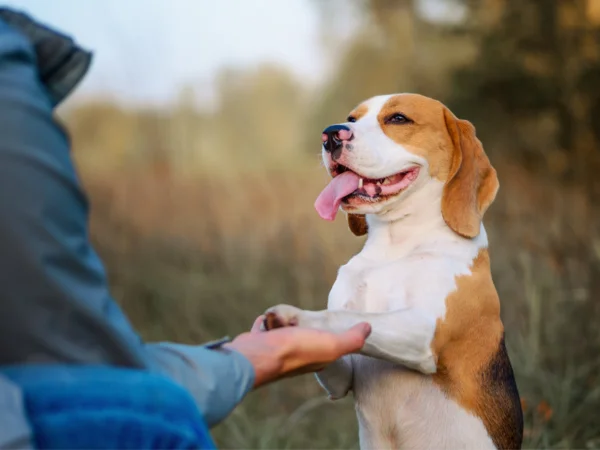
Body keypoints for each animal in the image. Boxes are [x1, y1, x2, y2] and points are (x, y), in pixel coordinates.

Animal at [262, 93, 520, 448]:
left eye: (398, 119)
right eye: (352, 119)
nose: (330, 135)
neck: (395, 245)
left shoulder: (424, 331)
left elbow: (346, 317)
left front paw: (296, 317)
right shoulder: (344, 377)